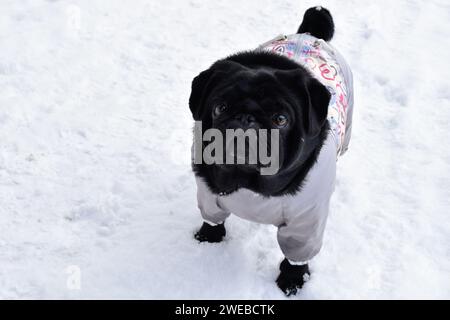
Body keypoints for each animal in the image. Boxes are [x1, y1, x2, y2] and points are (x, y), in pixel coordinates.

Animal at [188, 5, 354, 296]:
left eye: (281, 119)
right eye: (220, 107)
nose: (245, 119)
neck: (249, 186)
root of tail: (310, 33)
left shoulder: (306, 224)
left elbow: (296, 255)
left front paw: (292, 281)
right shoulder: (208, 194)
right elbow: (212, 217)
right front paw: (208, 239)